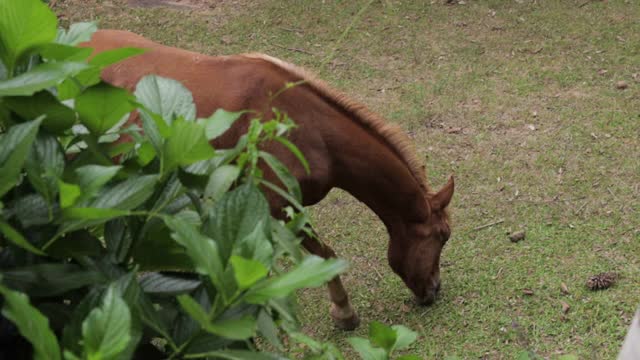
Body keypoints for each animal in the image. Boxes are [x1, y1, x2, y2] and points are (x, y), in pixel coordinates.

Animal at [82, 29, 456, 330]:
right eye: (442, 236)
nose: (434, 290)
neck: (307, 126)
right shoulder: (280, 206)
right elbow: (323, 254)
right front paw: (344, 313)